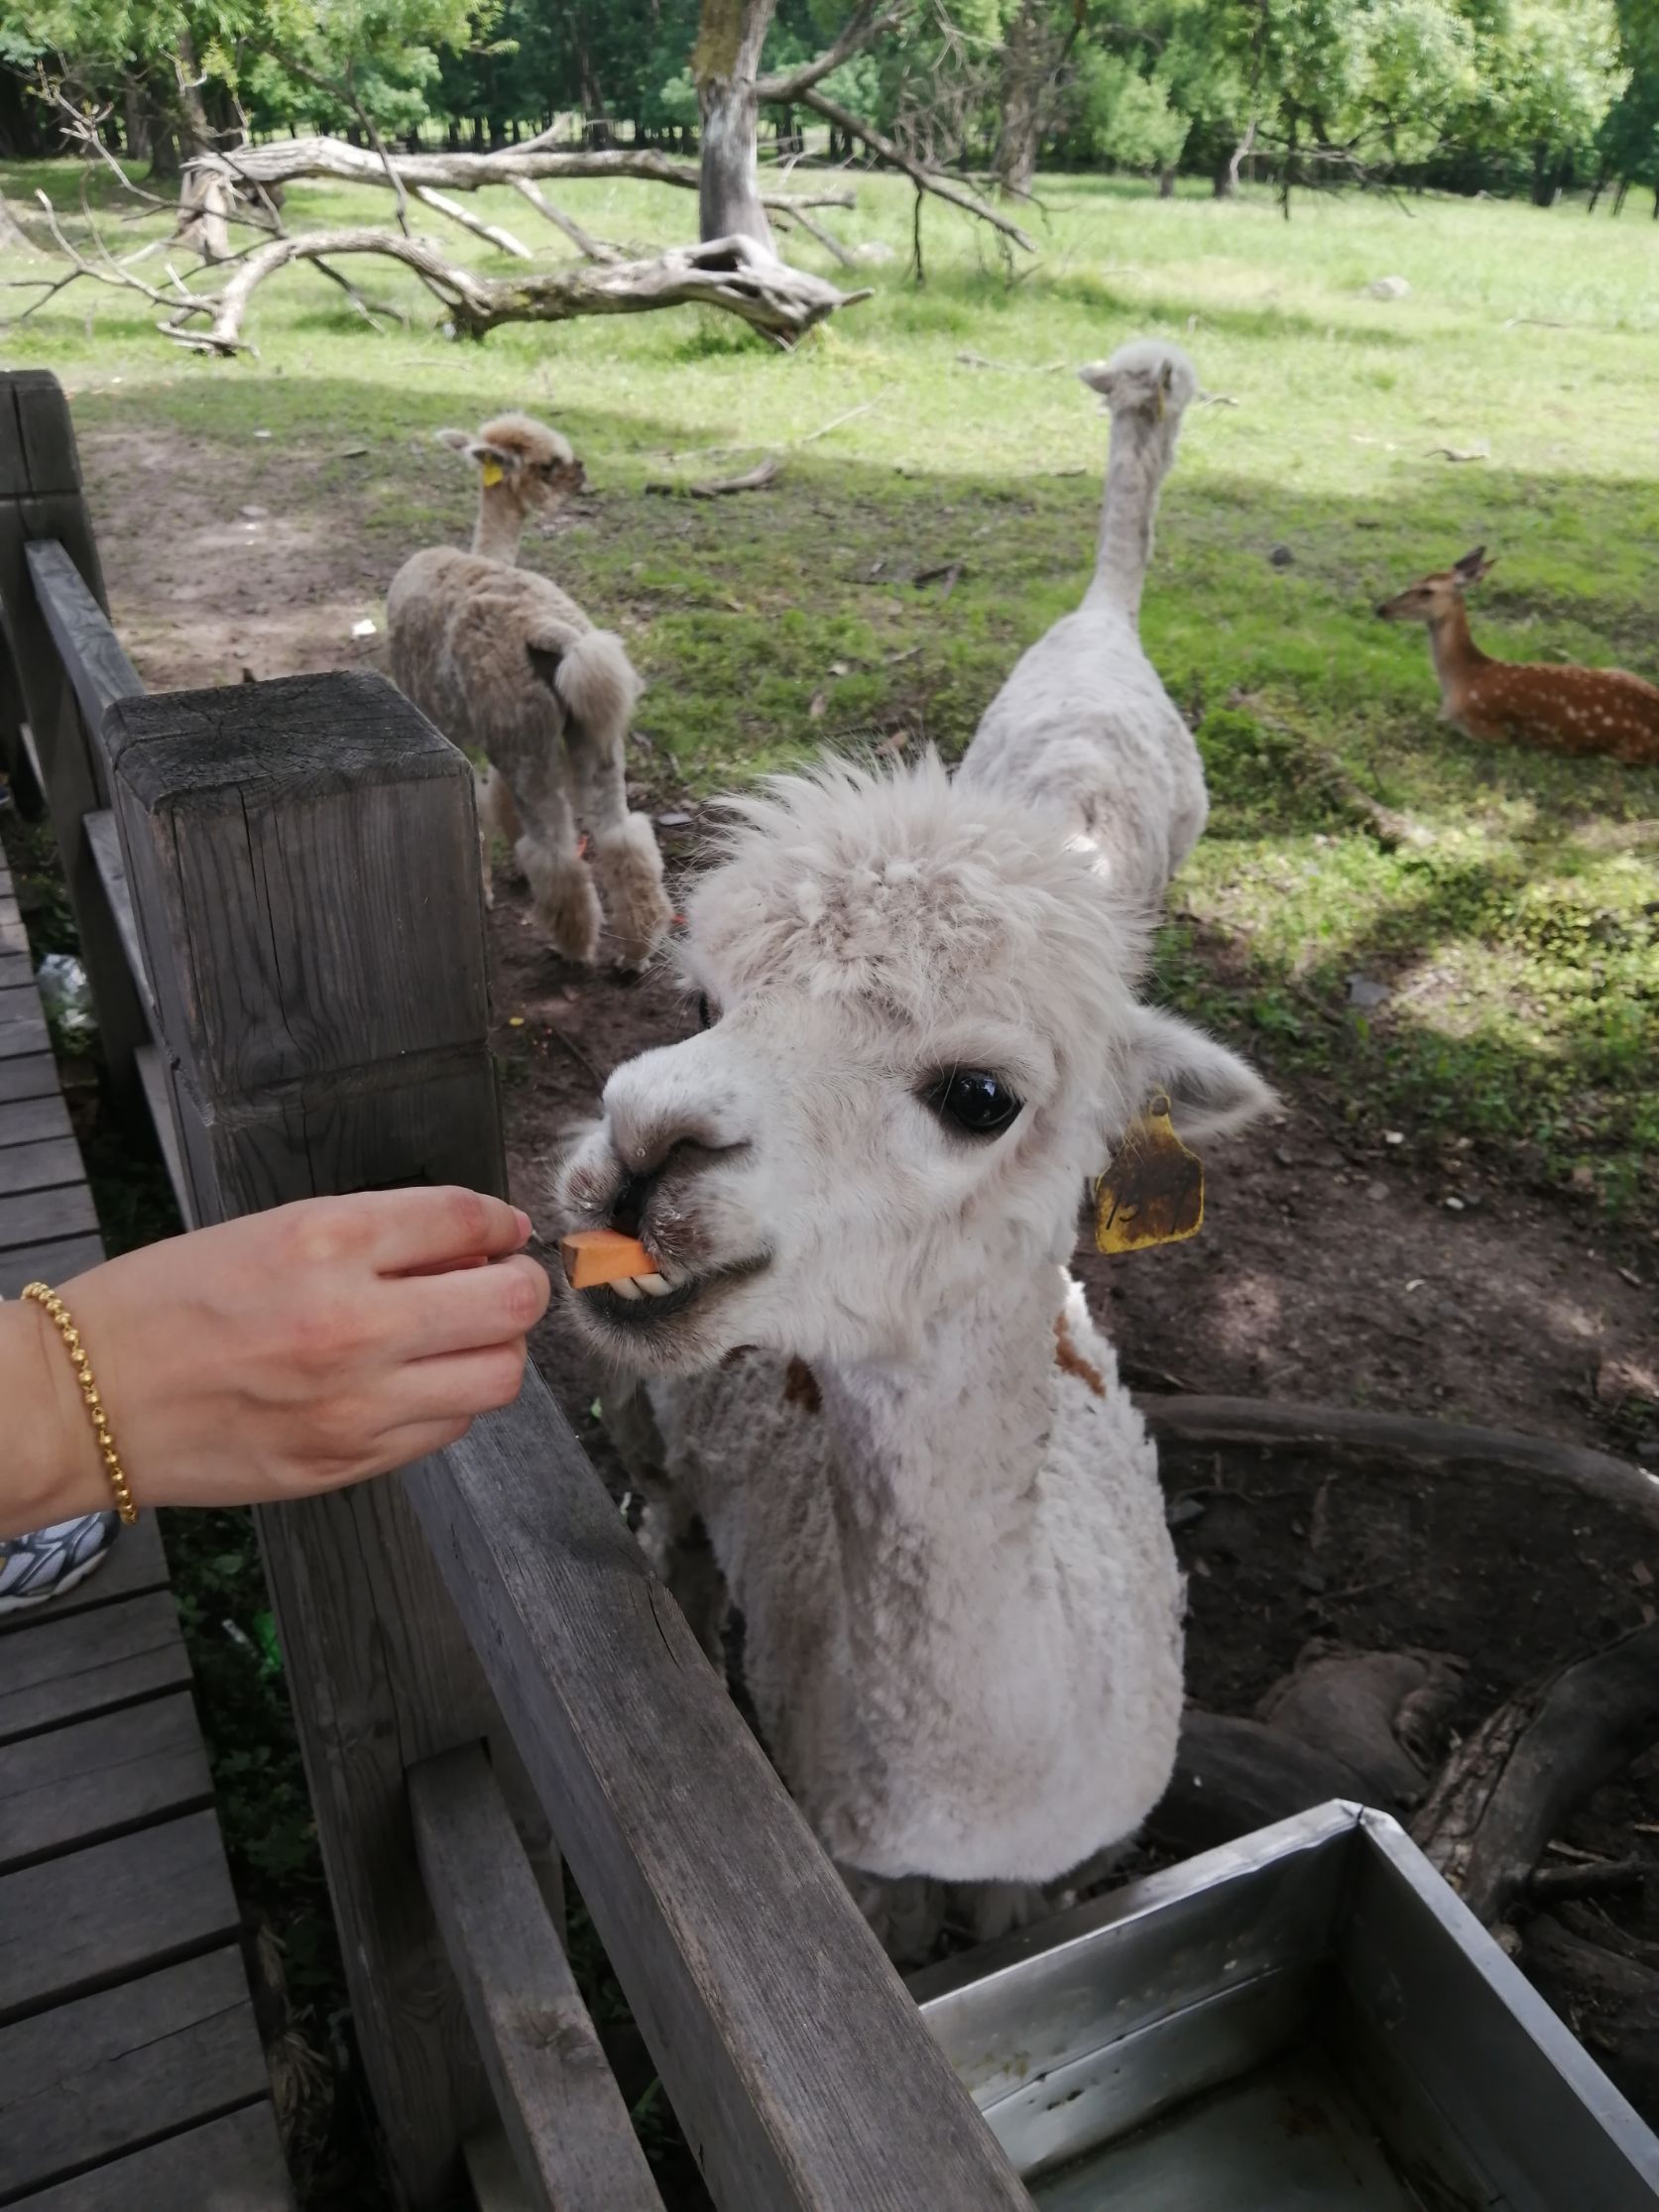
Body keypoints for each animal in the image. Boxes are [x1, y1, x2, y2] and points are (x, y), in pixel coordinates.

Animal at [1379, 546, 1659, 769]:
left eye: (1427, 591)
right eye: (1415, 580)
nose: (1382, 608)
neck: (1463, 679)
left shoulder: (1491, 731)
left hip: (1624, 752)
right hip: (1618, 669)